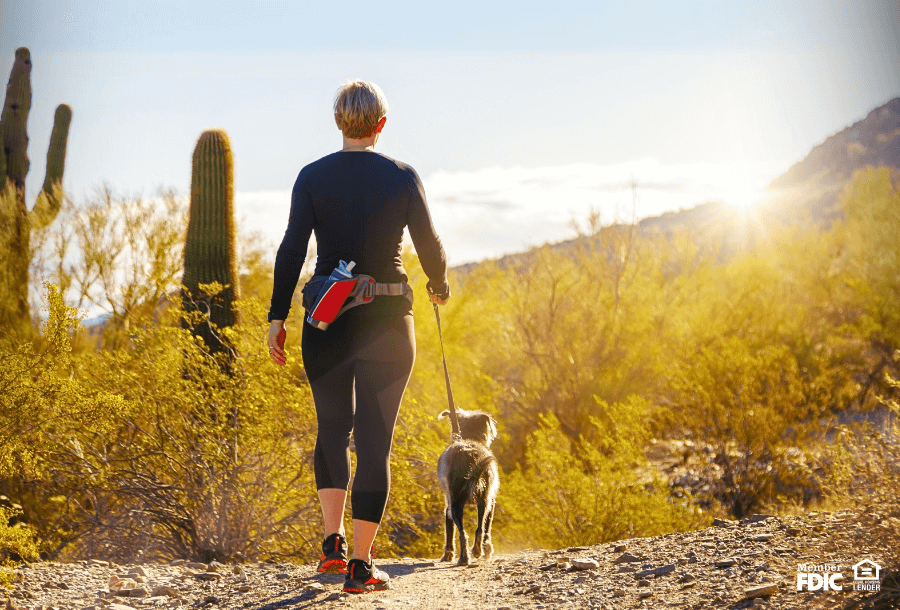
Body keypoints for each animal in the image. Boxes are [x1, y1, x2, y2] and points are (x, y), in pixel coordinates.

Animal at [436, 406, 500, 564]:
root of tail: (470, 455)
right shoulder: (491, 502)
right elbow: (487, 527)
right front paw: (487, 549)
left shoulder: (448, 506)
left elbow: (449, 530)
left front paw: (448, 554)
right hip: (484, 500)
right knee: (479, 529)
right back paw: (476, 552)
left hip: (455, 503)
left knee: (463, 532)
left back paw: (464, 558)